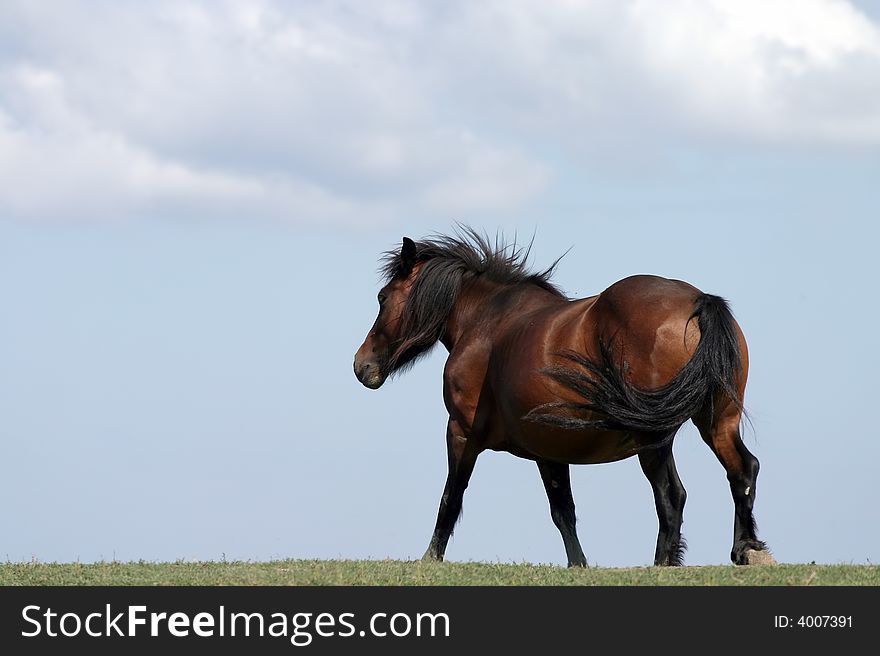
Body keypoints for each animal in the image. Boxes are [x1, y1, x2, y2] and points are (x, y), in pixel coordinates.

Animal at [354, 228, 772, 568]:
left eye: (382, 297)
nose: (362, 365)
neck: (487, 324)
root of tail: (699, 301)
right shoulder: (548, 450)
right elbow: (563, 511)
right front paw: (578, 565)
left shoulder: (459, 432)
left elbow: (450, 497)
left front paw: (430, 557)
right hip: (717, 422)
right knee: (742, 470)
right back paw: (747, 550)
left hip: (653, 438)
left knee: (672, 494)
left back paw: (663, 563)